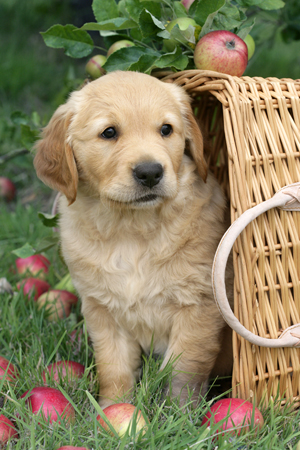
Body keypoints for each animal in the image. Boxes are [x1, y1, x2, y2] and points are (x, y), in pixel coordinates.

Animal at [34, 70, 232, 408]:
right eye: (109, 132)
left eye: (166, 129)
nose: (150, 172)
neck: (132, 229)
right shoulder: (102, 310)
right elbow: (114, 367)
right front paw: (112, 408)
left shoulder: (199, 306)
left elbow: (184, 369)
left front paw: (180, 412)